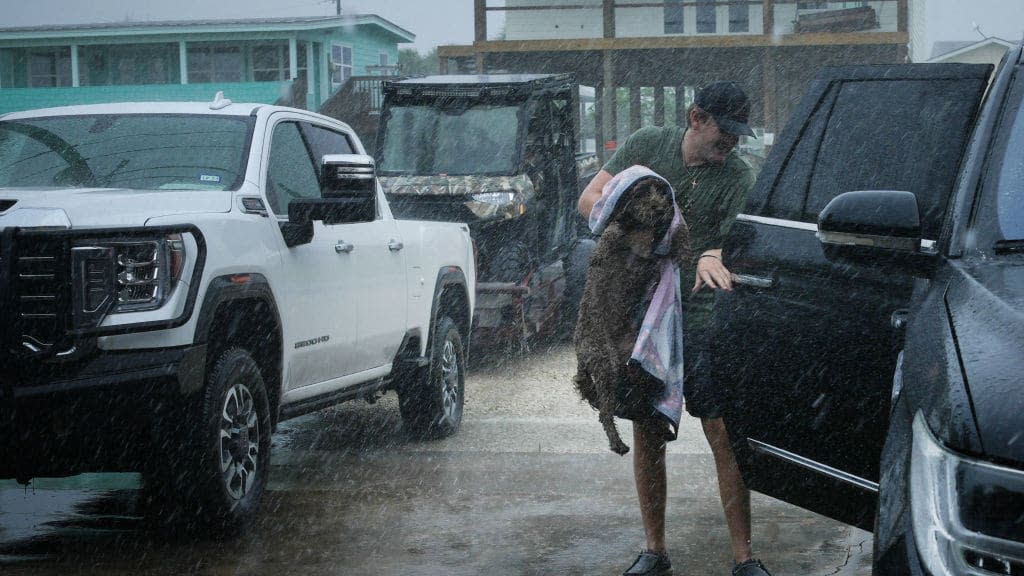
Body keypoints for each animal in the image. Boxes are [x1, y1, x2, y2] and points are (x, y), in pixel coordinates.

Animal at [573, 177, 692, 455]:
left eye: (661, 191)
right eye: (640, 193)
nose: (660, 207)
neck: (638, 227)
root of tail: (581, 356)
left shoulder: (654, 248)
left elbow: (671, 243)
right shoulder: (625, 237)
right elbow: (615, 235)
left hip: (634, 368)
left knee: (633, 405)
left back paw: (659, 427)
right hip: (606, 365)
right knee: (607, 411)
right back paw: (618, 443)